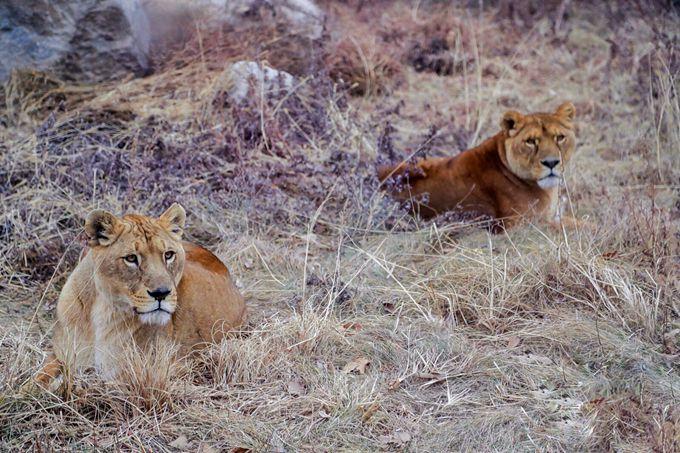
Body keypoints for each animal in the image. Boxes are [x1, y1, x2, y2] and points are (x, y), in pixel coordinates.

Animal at [34, 203, 246, 384]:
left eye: (169, 255)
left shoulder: (162, 369)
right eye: (131, 258)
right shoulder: (61, 354)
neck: (103, 310)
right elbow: (36, 378)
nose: (161, 293)